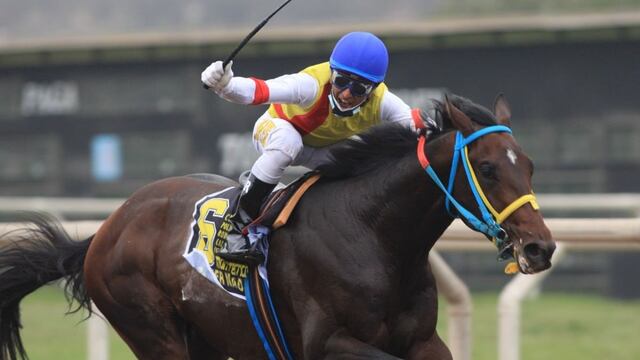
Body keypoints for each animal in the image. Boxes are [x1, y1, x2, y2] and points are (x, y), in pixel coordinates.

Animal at [0, 94, 556, 358]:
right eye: (488, 168)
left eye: (529, 165)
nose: (540, 248)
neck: (375, 238)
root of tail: (105, 230)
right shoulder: (327, 344)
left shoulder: (423, 341)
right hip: (151, 329)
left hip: (206, 337)